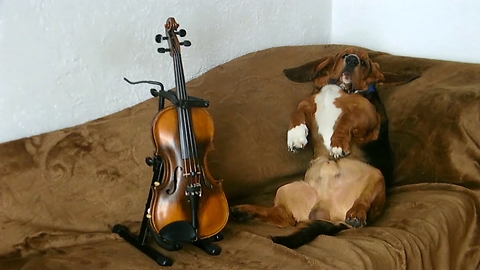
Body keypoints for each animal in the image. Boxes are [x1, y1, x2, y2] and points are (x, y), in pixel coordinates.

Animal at [231, 46, 418, 249]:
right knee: (285, 219)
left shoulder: (368, 115)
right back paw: (244, 211)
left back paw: (356, 214)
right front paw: (296, 135)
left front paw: (337, 144)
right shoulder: (308, 105)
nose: (352, 60)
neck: (338, 87)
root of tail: (329, 213)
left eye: (364, 62)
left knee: (363, 201)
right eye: (344, 55)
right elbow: (297, 112)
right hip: (285, 189)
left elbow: (347, 118)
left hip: (377, 177)